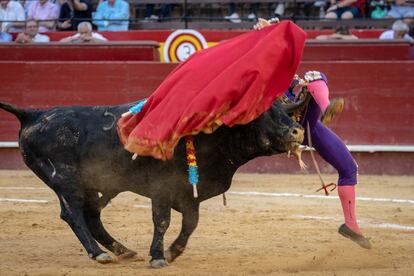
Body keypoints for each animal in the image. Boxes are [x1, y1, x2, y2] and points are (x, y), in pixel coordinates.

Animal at [0, 101, 304, 268]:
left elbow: (190, 225)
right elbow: (163, 221)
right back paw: (99, 254)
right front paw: (158, 256)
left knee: (92, 216)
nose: (297, 131)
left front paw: (172, 251)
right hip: (66, 180)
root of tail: (34, 115)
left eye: (286, 113)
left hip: (99, 185)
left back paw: (122, 250)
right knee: (73, 214)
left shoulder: (188, 193)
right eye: (263, 114)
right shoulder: (162, 188)